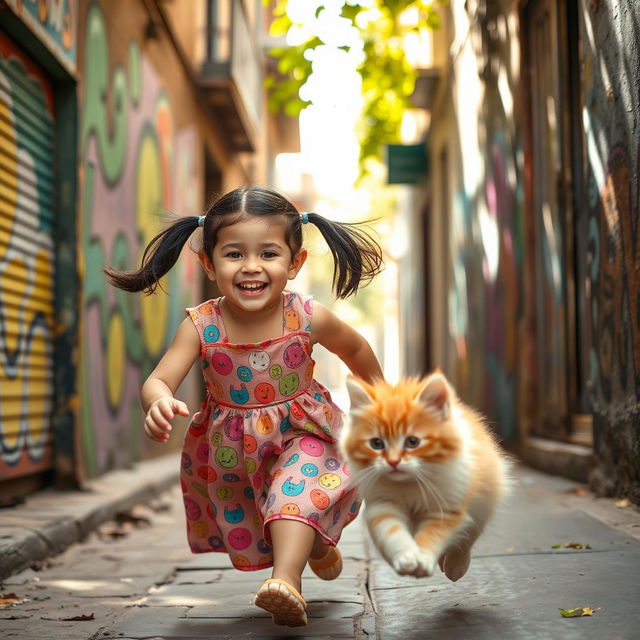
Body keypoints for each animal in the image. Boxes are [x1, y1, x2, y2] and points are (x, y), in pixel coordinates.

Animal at [340, 372, 510, 584]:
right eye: (376, 443)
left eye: (413, 442)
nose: (393, 462)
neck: (410, 484)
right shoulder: (382, 504)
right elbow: (391, 531)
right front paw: (406, 557)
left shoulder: (447, 507)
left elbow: (433, 534)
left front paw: (425, 559)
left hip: (483, 501)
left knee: (469, 536)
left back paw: (456, 565)